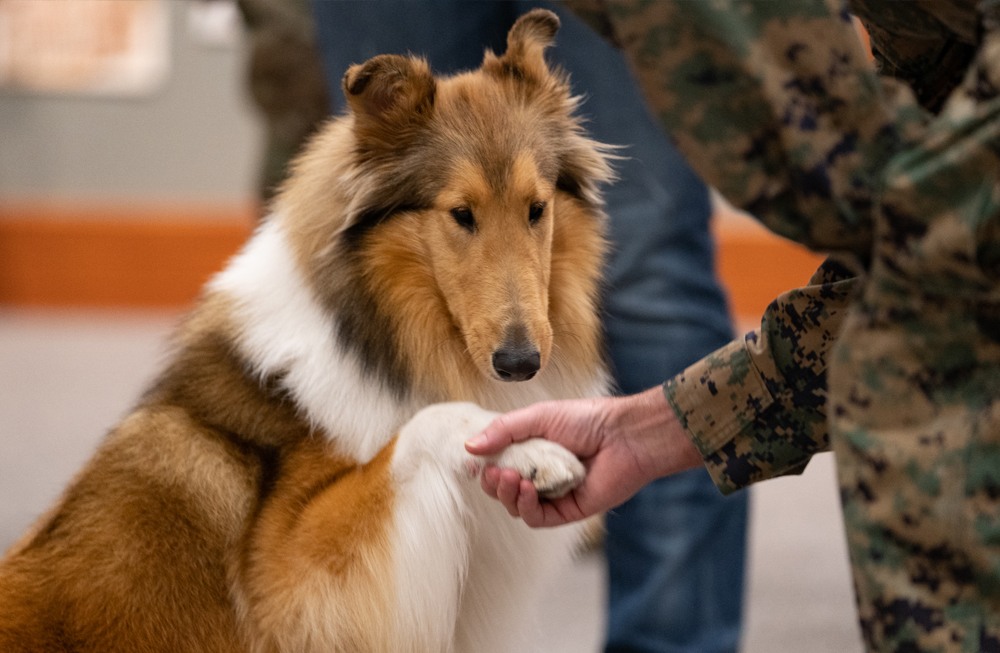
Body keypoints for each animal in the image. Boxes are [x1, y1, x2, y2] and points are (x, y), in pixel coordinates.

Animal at [0, 10, 608, 652]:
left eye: (537, 208)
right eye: (461, 214)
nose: (521, 363)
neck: (383, 339)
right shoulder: (295, 589)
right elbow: (427, 423)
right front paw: (533, 448)